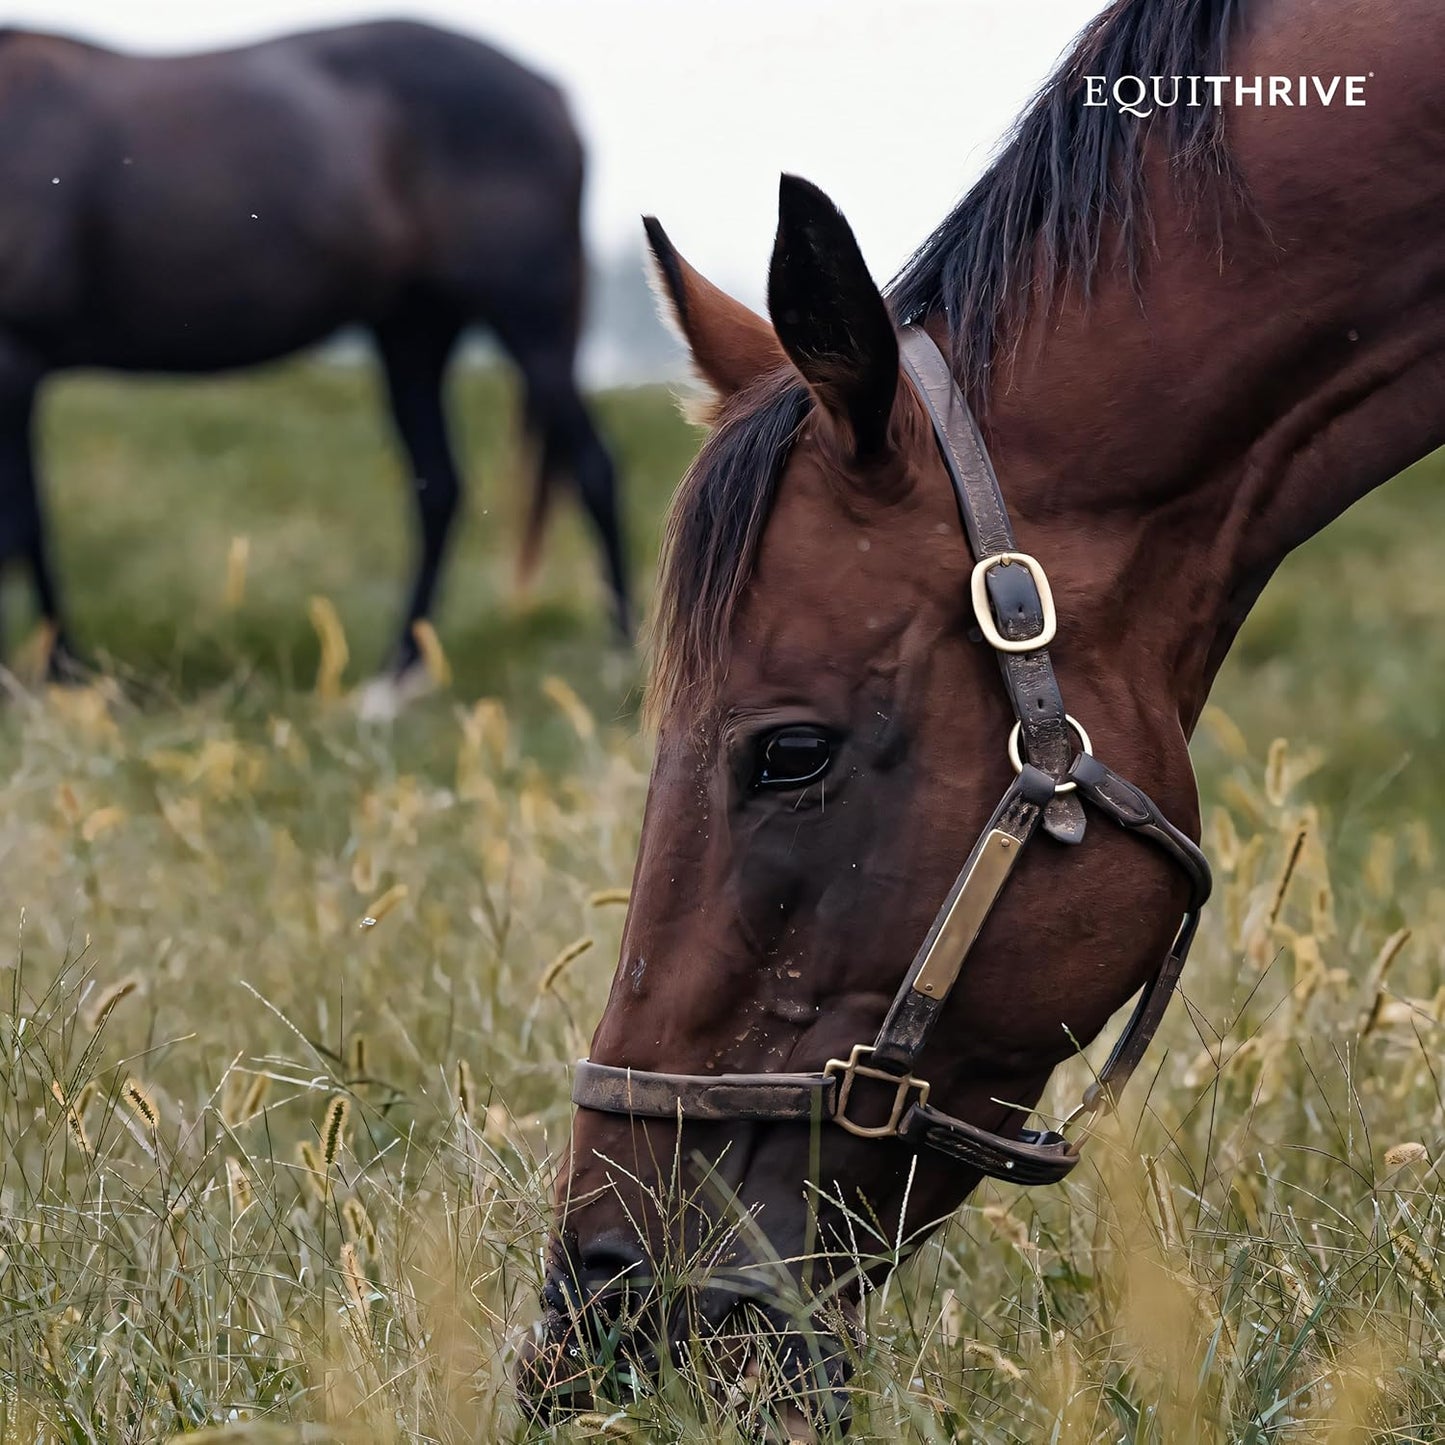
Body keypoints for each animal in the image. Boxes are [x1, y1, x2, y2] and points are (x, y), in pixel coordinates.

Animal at [0, 20, 629, 692]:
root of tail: (552, 96)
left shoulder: (15, 362)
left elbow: (23, 521)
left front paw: (60, 674)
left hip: (530, 325)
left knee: (595, 469)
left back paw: (618, 662)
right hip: (414, 330)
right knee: (439, 488)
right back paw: (397, 678)